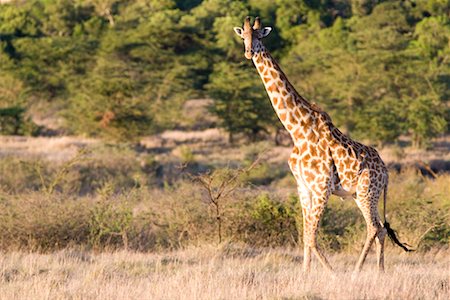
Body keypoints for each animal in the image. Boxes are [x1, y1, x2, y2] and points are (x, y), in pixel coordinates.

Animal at [234, 16, 414, 274]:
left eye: (259, 36)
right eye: (243, 36)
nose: (249, 52)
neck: (297, 130)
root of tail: (386, 171)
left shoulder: (321, 187)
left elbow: (312, 236)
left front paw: (331, 274)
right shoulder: (303, 187)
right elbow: (305, 235)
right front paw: (304, 273)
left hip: (367, 191)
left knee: (373, 227)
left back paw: (356, 273)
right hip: (363, 194)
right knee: (380, 228)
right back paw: (380, 272)